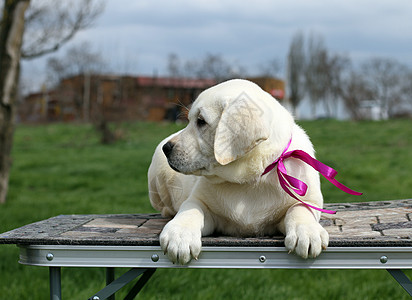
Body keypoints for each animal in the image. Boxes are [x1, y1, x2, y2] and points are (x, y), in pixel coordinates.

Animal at [148, 78, 328, 264]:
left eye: (201, 121)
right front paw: (179, 234)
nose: (166, 148)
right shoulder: (201, 202)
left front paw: (307, 232)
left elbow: (300, 209)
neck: (248, 179)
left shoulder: (309, 201)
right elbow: (190, 209)